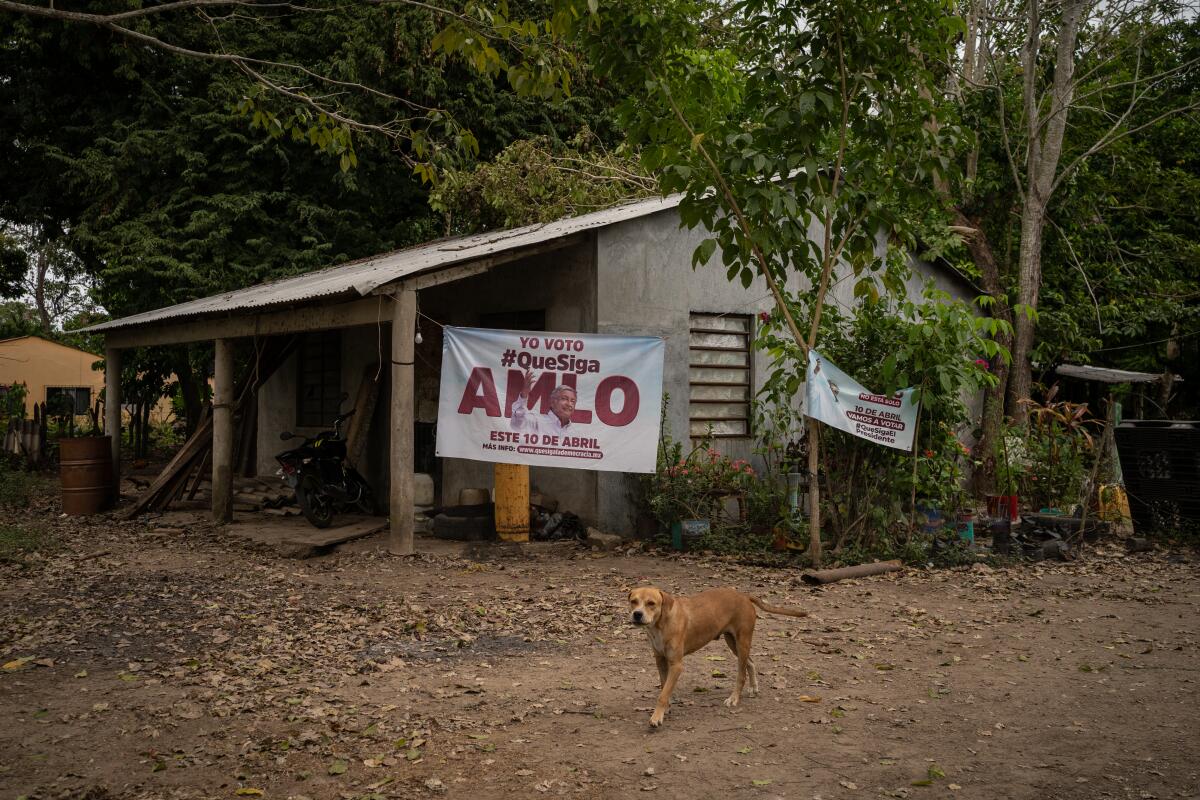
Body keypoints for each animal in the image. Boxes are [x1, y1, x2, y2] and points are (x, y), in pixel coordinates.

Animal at [628, 585, 806, 729]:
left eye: (651, 603)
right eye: (633, 601)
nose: (637, 614)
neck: (661, 624)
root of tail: (743, 595)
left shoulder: (676, 665)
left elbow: (663, 695)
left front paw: (657, 717)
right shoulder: (660, 661)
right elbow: (664, 687)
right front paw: (667, 708)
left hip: (742, 641)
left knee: (741, 674)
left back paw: (734, 698)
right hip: (733, 642)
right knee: (750, 662)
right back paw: (754, 687)